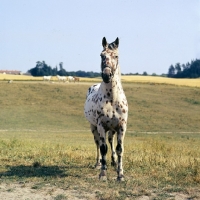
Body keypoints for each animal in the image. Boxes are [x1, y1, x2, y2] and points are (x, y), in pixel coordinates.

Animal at [84, 36, 128, 180]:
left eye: (116, 56)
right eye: (101, 55)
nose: (106, 75)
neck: (112, 99)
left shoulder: (121, 126)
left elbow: (119, 149)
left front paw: (120, 174)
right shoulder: (101, 125)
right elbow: (103, 148)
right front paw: (103, 174)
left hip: (112, 129)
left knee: (111, 141)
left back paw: (113, 163)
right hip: (93, 127)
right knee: (98, 143)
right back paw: (98, 164)